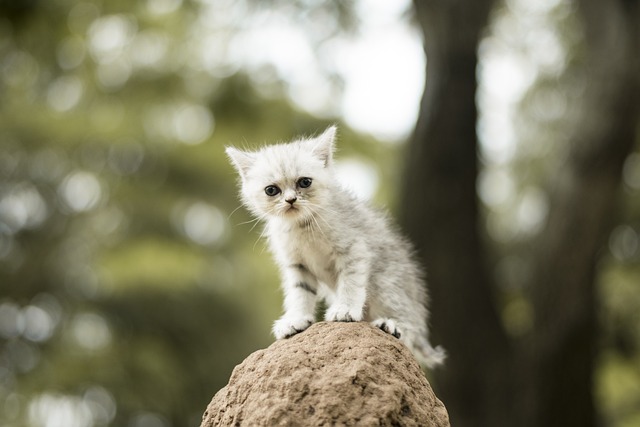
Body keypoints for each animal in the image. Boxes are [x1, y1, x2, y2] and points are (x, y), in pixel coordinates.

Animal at [226, 126, 444, 368]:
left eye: (304, 182)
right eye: (271, 190)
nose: (291, 200)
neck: (303, 226)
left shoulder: (354, 249)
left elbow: (350, 283)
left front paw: (345, 309)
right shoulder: (297, 265)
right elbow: (299, 292)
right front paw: (296, 319)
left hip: (387, 285)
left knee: (408, 324)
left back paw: (393, 326)